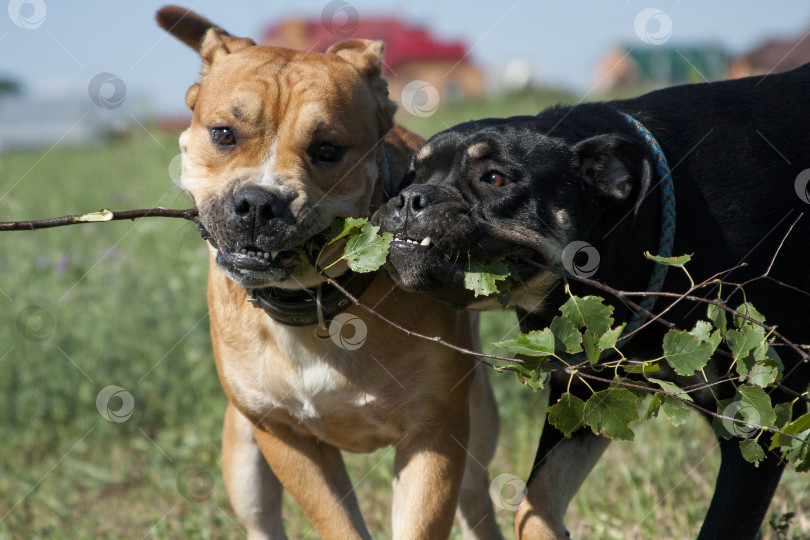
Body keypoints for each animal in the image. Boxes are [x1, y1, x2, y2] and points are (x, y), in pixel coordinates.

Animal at [372, 61, 808, 536]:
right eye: (414, 176)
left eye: (494, 179)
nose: (410, 199)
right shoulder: (583, 392)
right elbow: (536, 501)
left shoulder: (758, 421)